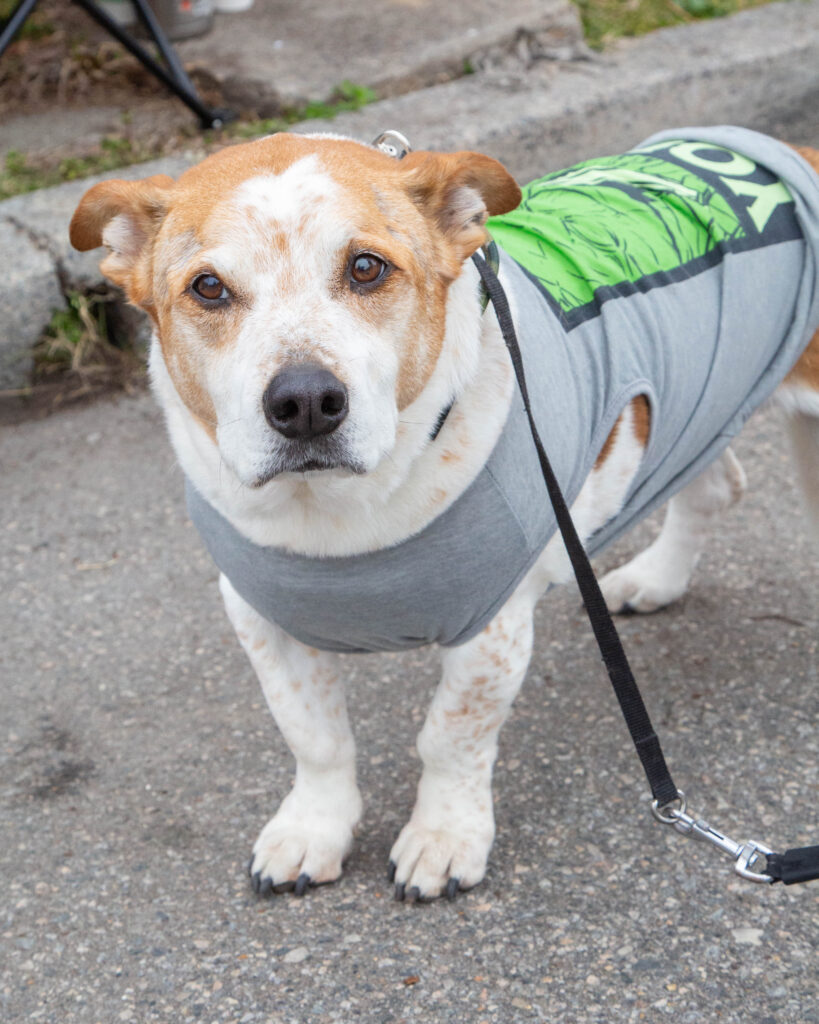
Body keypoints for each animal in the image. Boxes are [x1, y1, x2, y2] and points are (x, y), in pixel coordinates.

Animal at [69, 126, 819, 902]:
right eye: (208, 287)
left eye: (366, 267)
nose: (304, 402)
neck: (335, 517)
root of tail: (792, 149)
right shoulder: (260, 620)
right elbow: (314, 735)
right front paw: (313, 828)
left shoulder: (492, 629)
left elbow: (450, 738)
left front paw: (443, 837)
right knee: (715, 486)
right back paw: (657, 579)